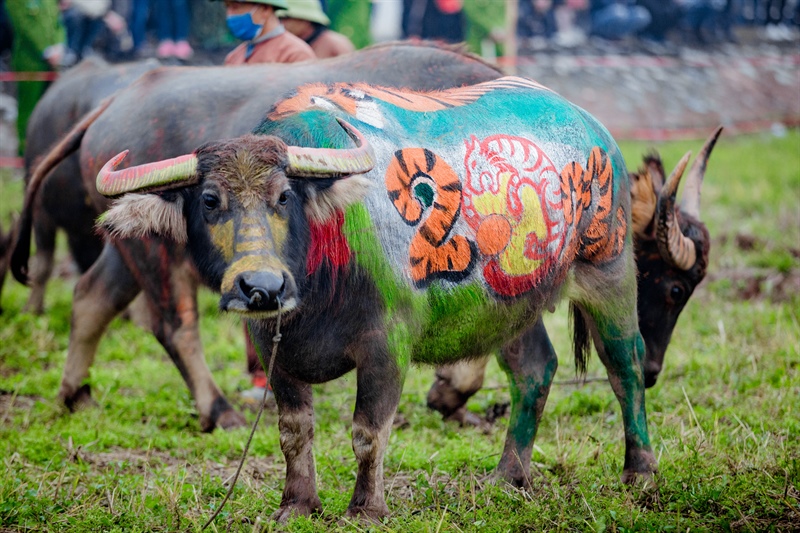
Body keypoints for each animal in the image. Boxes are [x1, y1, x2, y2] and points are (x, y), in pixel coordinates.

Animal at [11, 42, 504, 432]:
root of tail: (117, 101)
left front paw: (452, 393)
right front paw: (451, 390)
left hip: (132, 240)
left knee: (91, 296)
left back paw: (75, 394)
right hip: (156, 252)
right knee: (175, 325)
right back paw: (218, 410)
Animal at [94, 76, 692, 520]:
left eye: (284, 196)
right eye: (209, 200)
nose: (261, 286)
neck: (322, 270)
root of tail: (595, 130)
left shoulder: (387, 345)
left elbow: (368, 432)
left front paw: (366, 508)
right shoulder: (271, 350)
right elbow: (293, 431)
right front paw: (297, 504)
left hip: (609, 269)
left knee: (625, 366)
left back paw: (640, 472)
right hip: (511, 305)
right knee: (535, 370)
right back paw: (507, 477)